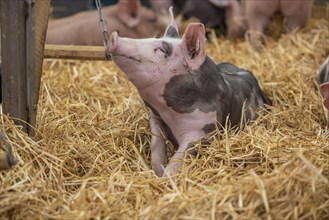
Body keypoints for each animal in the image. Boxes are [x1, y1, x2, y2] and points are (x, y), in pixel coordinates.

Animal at [107, 8, 270, 177]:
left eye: (163, 50)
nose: (114, 36)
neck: (168, 114)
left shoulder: (201, 131)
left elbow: (176, 162)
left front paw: (165, 177)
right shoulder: (155, 119)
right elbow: (156, 147)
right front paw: (158, 171)